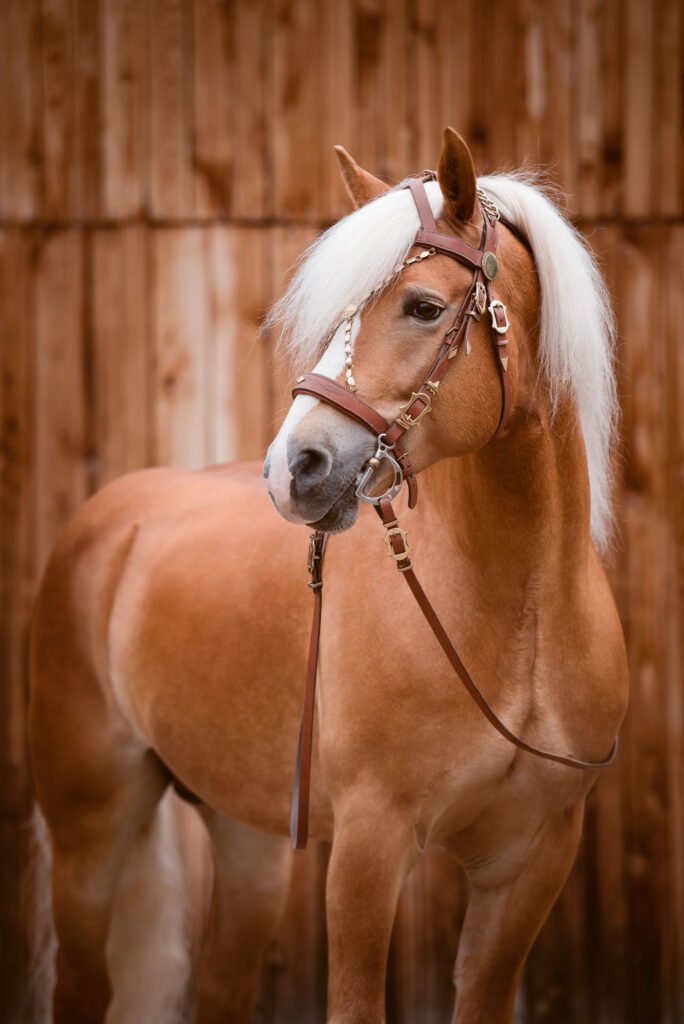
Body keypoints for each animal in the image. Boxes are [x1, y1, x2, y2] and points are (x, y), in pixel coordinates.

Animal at [29, 127, 628, 1023]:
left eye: (423, 306)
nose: (293, 469)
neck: (516, 621)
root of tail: (106, 521)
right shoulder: (368, 847)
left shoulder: (533, 859)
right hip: (90, 830)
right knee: (82, 982)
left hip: (249, 839)